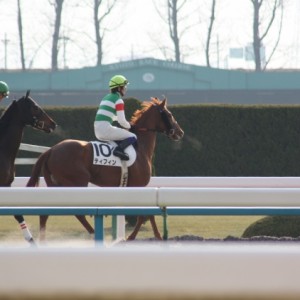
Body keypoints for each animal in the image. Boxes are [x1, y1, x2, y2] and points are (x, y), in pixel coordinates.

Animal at [27, 98, 184, 241]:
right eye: (169, 114)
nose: (180, 132)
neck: (140, 148)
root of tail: (52, 150)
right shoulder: (137, 186)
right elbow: (145, 214)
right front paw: (141, 237)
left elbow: (146, 214)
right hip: (77, 183)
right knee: (78, 213)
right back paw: (93, 233)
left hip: (54, 185)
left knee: (45, 213)